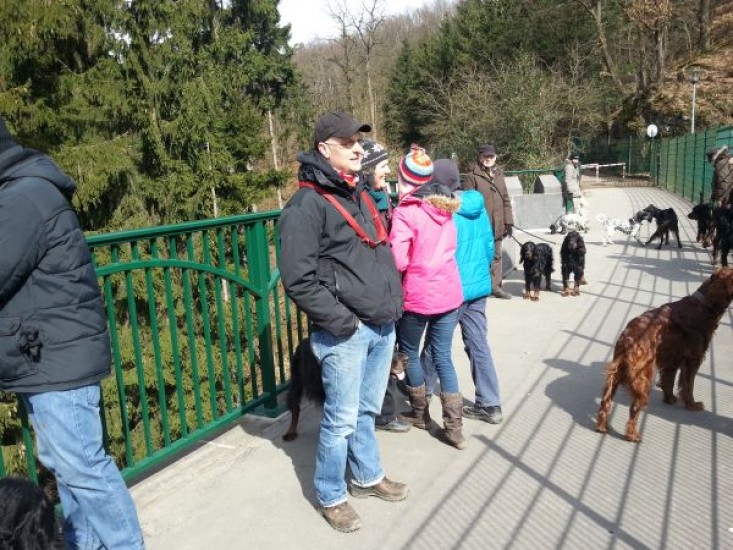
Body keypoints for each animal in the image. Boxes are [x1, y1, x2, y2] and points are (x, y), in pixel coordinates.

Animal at [595, 267, 733, 442]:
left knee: (605, 401)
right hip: (644, 375)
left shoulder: (672, 360)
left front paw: (670, 399)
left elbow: (669, 381)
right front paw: (692, 405)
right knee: (634, 407)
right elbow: (688, 385)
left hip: (615, 373)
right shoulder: (692, 359)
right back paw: (632, 435)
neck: (704, 305)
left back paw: (602, 426)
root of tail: (627, 337)